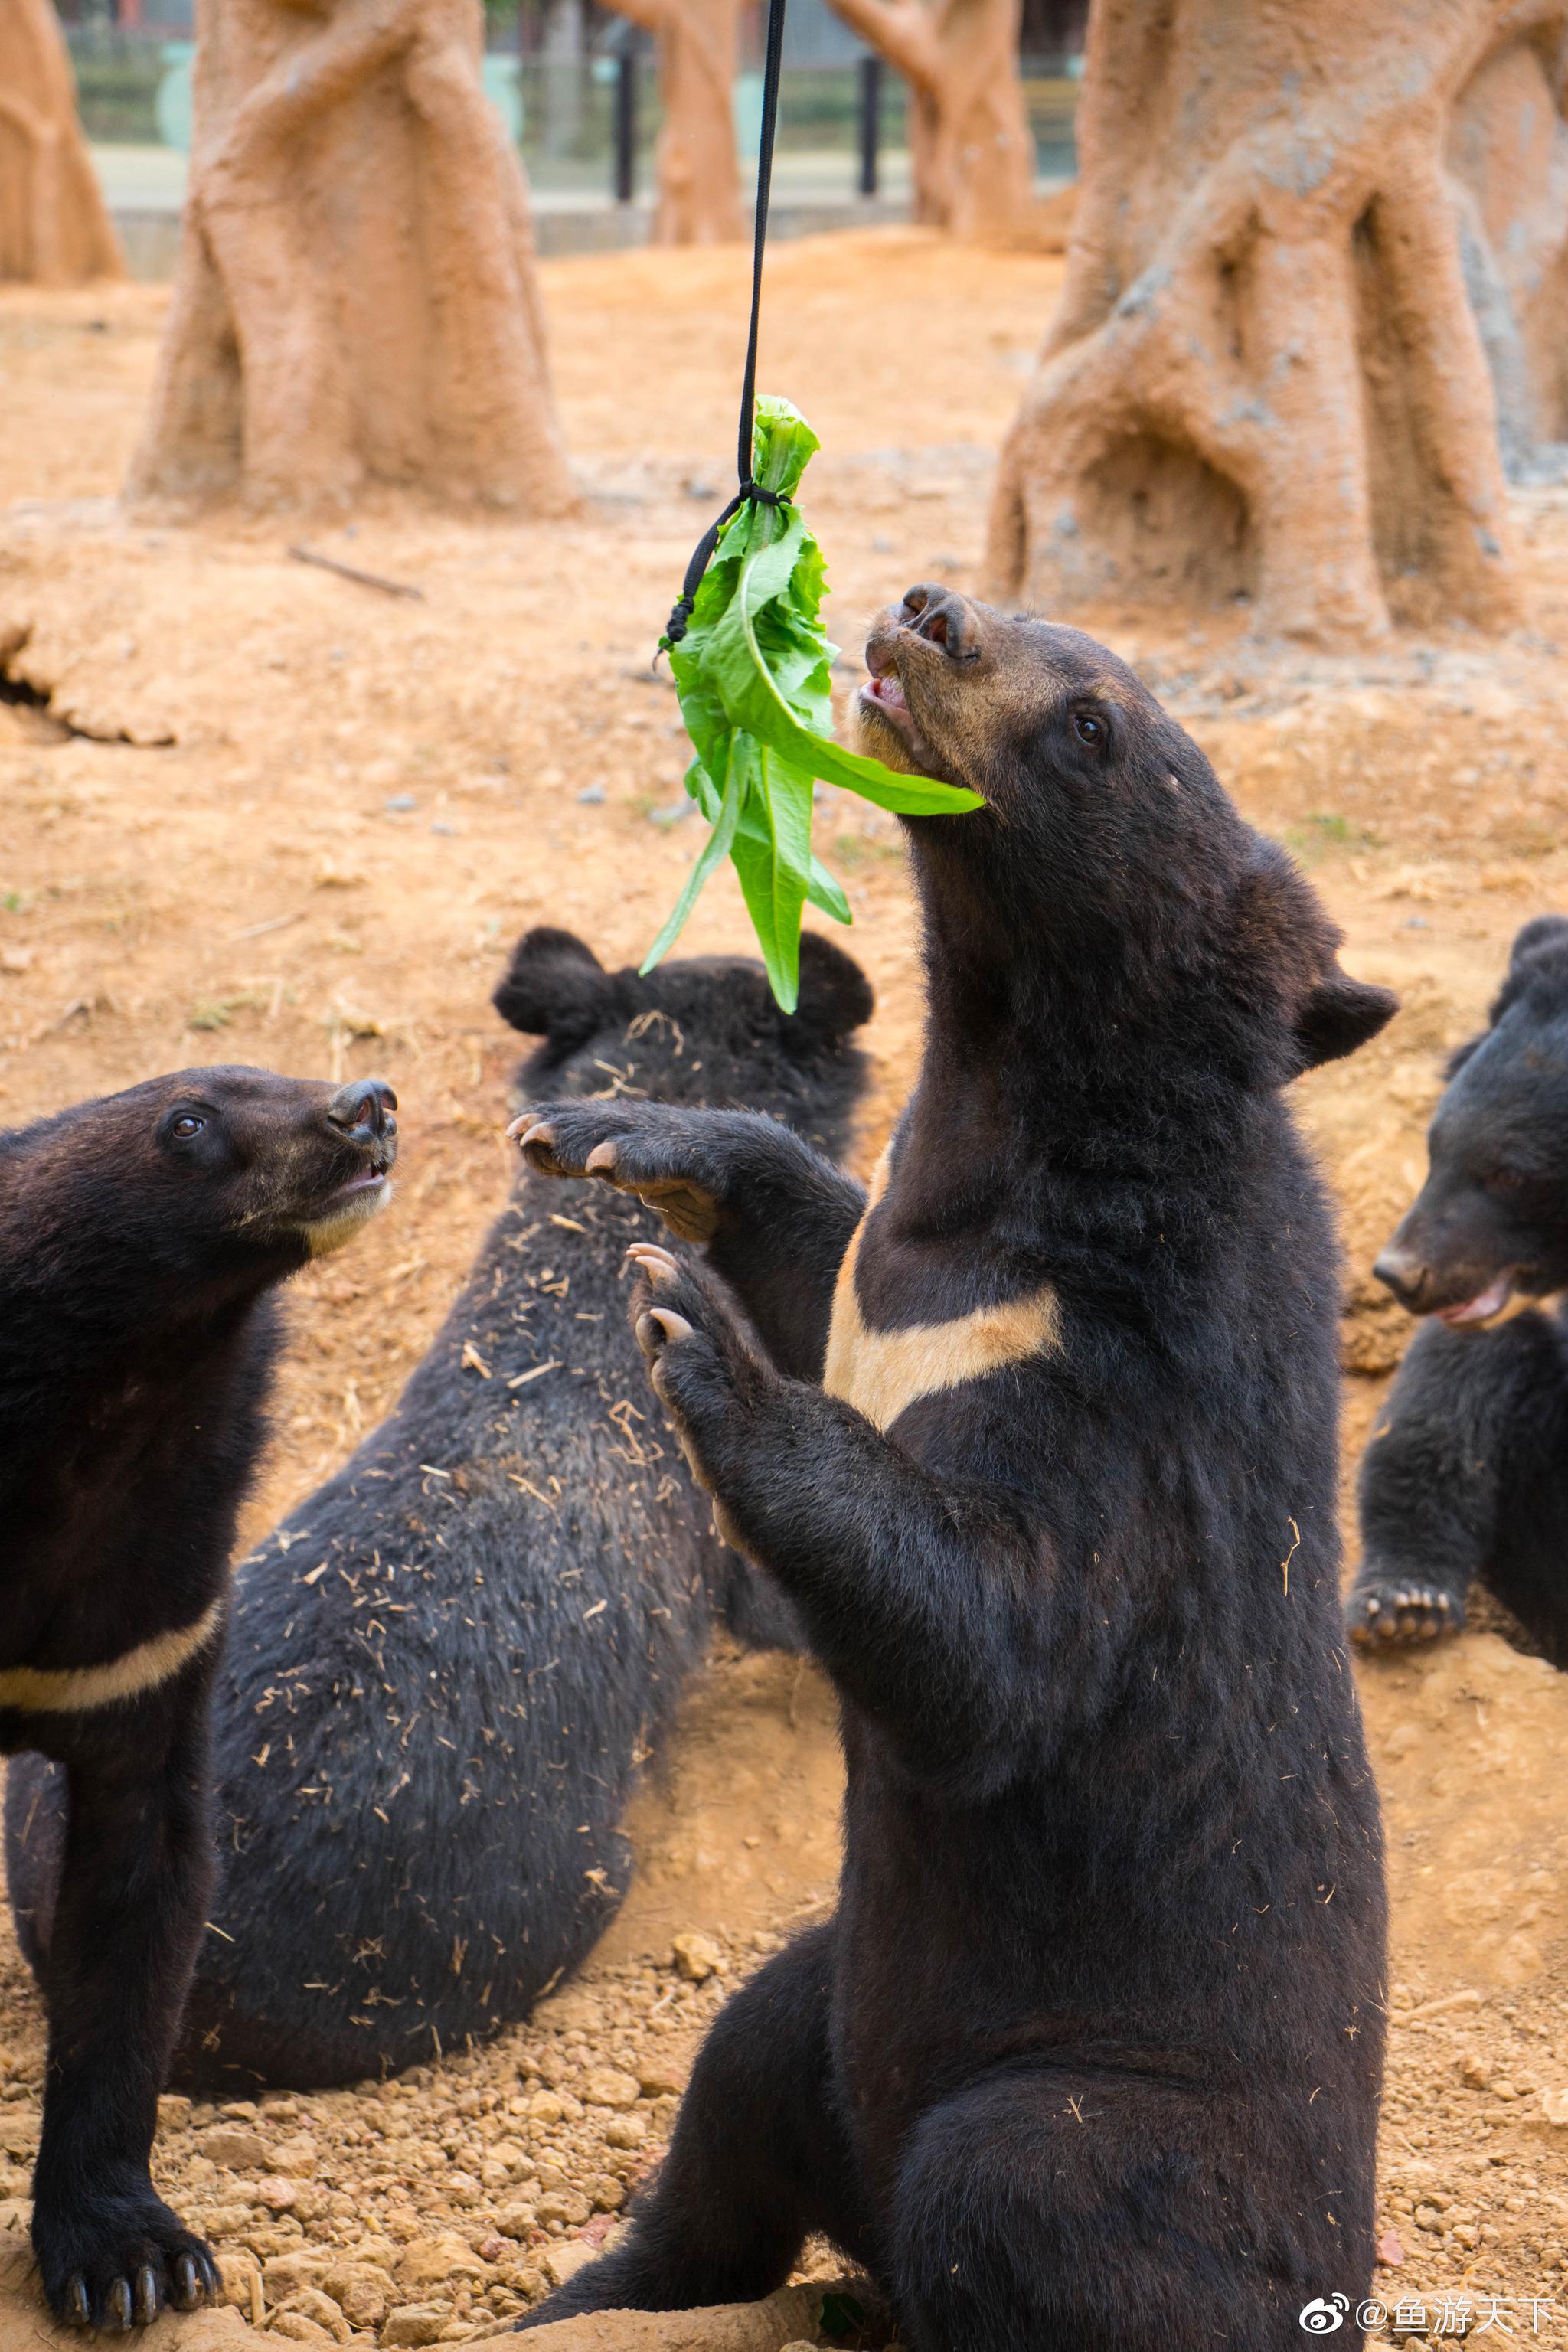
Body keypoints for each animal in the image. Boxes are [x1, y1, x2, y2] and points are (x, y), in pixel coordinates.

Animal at [2, 1067, 392, 2333]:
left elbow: (140, 1903)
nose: (368, 1102)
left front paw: (135, 2262)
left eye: (286, 1074)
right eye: (186, 1123)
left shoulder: (155, 1625)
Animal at [512, 593, 1400, 2352]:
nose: (926, 612)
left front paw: (687, 1329)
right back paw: (578, 2295)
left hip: (1093, 2111)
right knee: (738, 2096)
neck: (1015, 1111)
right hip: (825, 1993)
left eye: (1094, 725)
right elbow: (821, 1241)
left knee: (1014, 2194)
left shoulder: (1122, 1398)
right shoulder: (896, 1270)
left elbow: (994, 1642)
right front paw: (633, 1139)